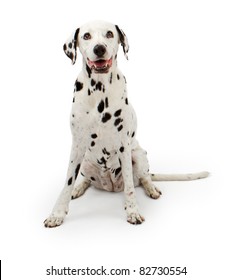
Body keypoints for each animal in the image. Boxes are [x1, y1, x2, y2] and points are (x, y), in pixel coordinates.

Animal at [43, 21, 208, 228]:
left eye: (109, 34)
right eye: (86, 36)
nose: (99, 48)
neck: (100, 91)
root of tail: (110, 187)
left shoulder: (124, 146)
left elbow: (129, 184)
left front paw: (133, 211)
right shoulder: (77, 145)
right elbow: (67, 181)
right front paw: (57, 213)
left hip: (138, 154)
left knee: (144, 177)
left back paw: (151, 188)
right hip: (86, 161)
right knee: (87, 180)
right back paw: (79, 188)